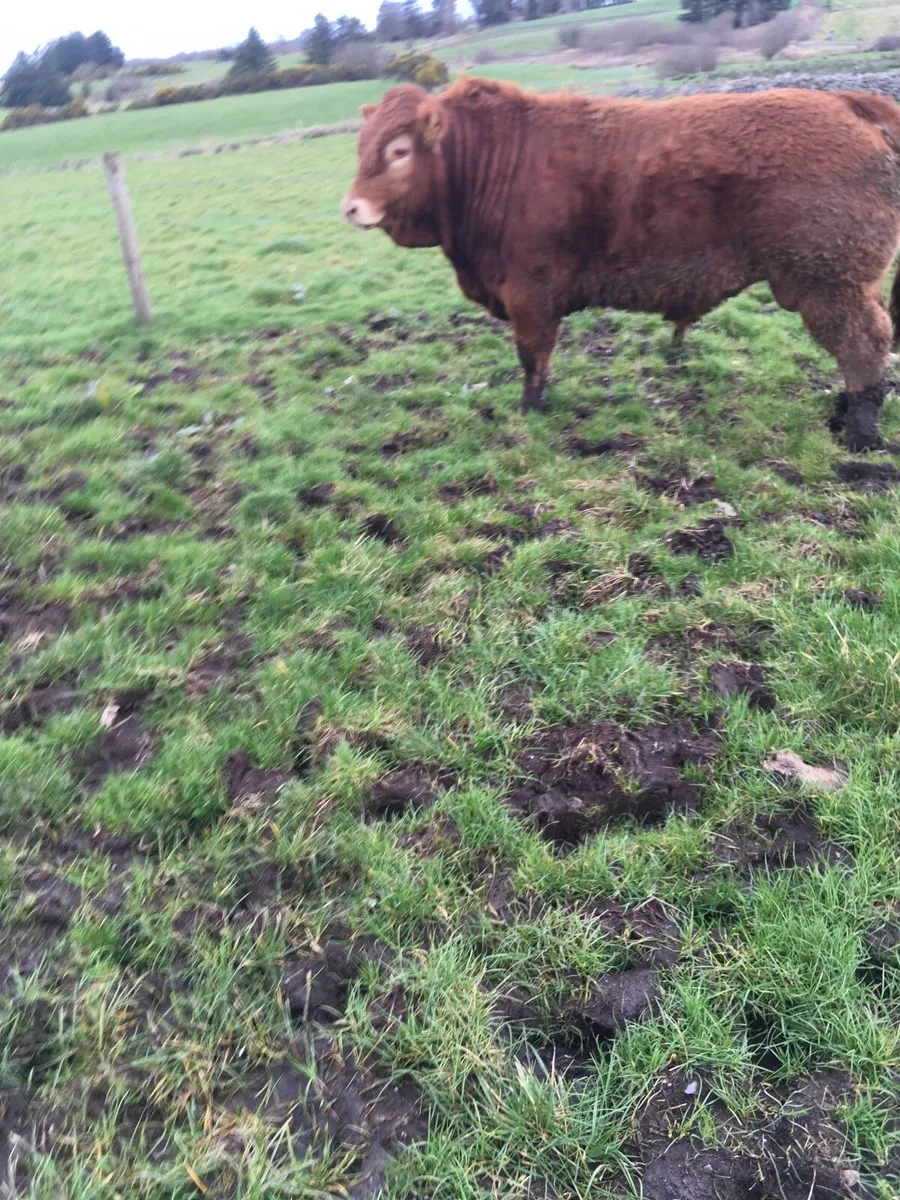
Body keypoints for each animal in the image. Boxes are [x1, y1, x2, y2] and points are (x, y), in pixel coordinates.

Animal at [341, 77, 900, 451]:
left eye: (398, 151)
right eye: (361, 147)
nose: (350, 207)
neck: (492, 164)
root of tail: (844, 100)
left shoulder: (530, 294)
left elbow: (532, 359)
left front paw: (529, 412)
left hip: (828, 281)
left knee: (863, 345)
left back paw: (859, 433)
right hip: (849, 281)